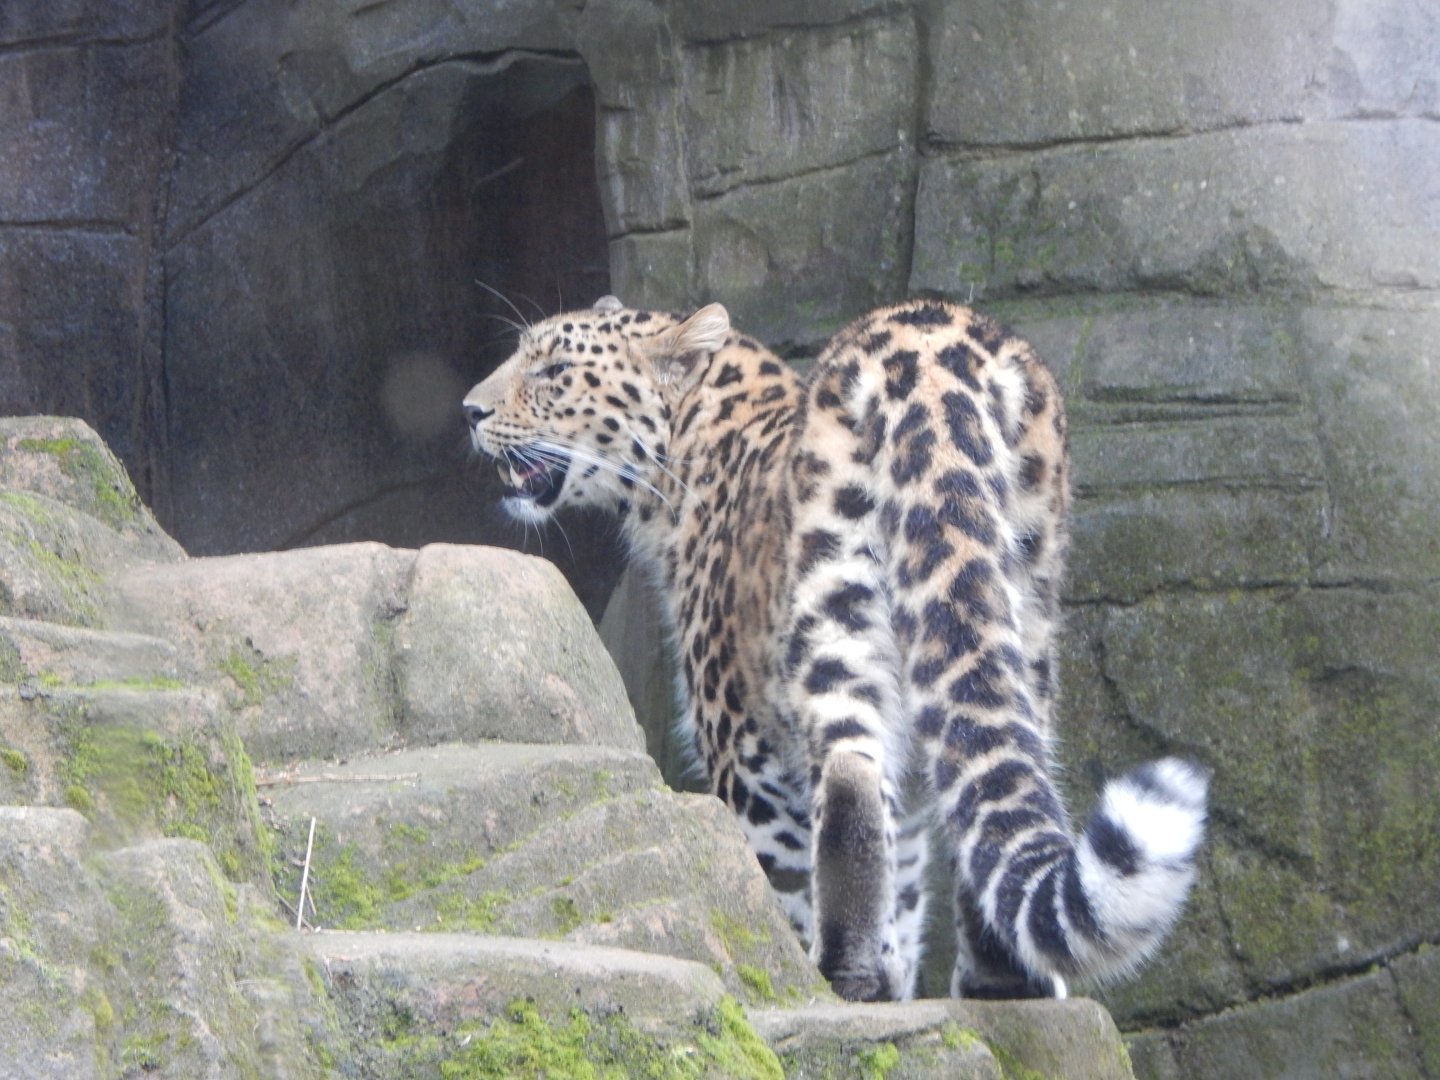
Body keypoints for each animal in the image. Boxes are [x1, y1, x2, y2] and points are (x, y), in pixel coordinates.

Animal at [463, 295, 1208, 1001]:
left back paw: (838, 975)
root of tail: (931, 360)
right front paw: (897, 975)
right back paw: (1001, 983)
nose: (470, 411)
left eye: (555, 370)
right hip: (1026, 604)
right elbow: (905, 878)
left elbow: (790, 875)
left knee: (850, 770)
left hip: (833, 598)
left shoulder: (746, 756)